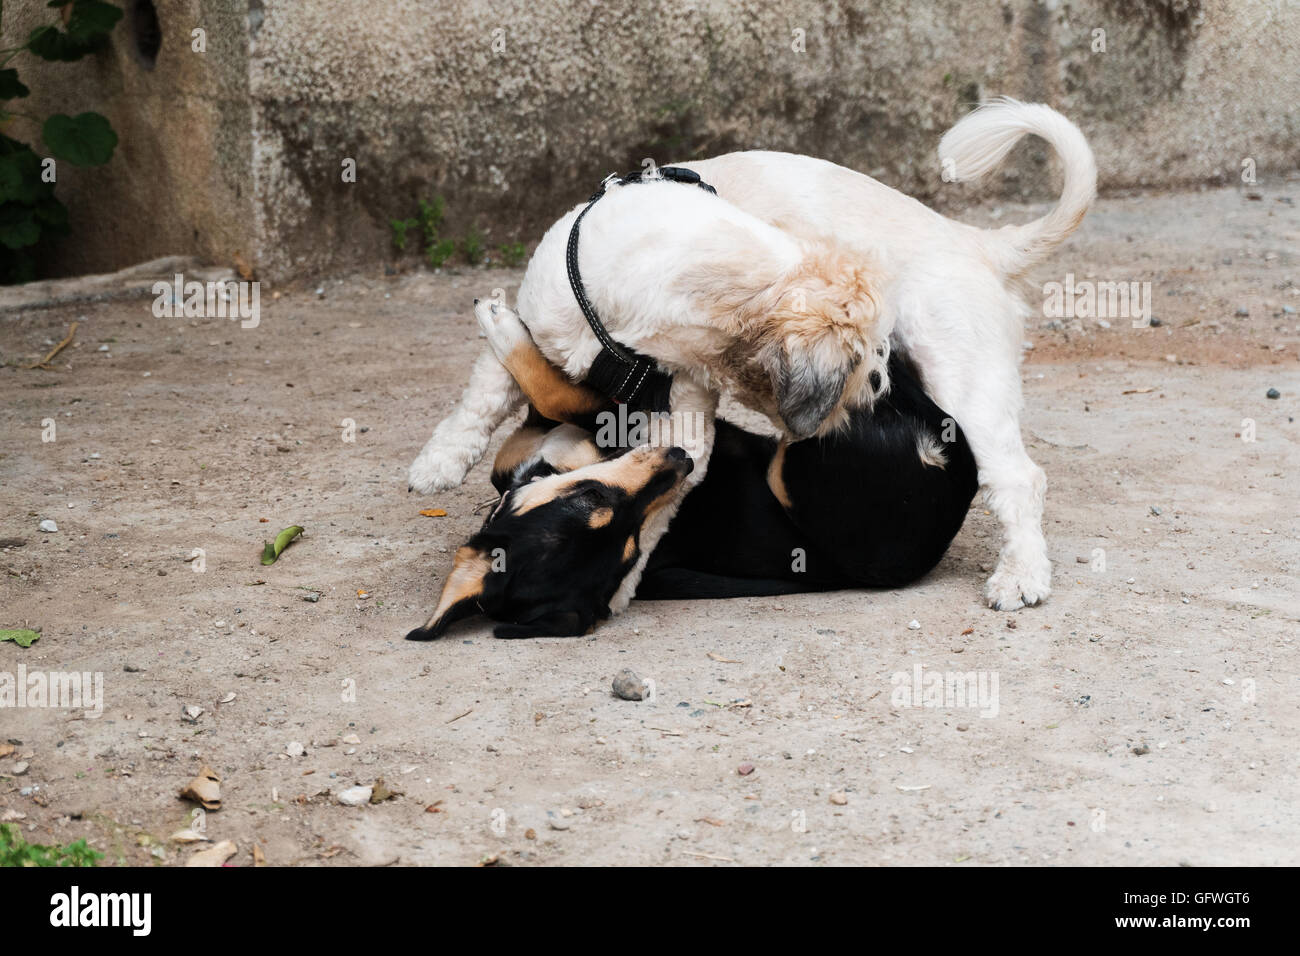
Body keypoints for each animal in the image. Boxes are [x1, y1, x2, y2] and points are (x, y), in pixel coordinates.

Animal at [410, 98, 1092, 613]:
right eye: (866, 361)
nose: (880, 385)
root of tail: (974, 242)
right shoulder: (545, 325)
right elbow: (487, 394)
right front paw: (440, 460)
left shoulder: (682, 424)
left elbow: (653, 499)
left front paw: (622, 578)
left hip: (964, 388)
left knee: (1018, 478)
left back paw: (1023, 576)